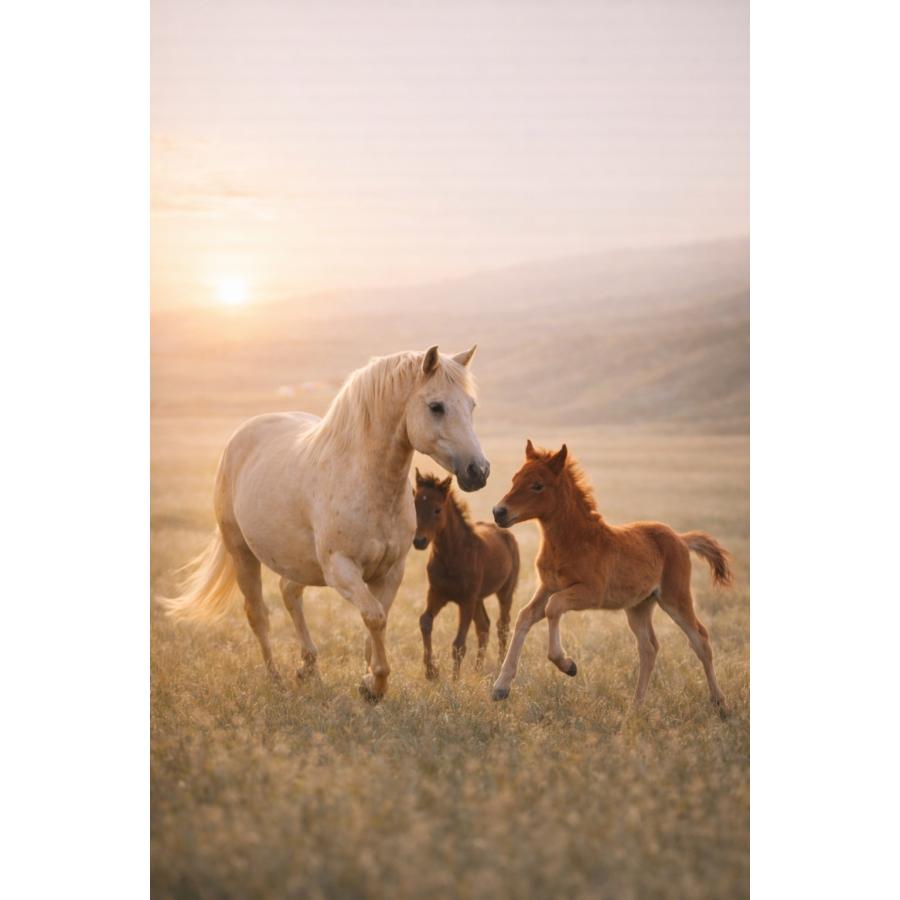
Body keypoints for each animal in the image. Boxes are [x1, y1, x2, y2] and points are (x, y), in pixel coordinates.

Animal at [160, 346, 490, 701]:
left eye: (471, 405)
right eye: (436, 406)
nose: (479, 471)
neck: (365, 480)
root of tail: (242, 435)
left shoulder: (391, 572)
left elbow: (377, 620)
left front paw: (366, 680)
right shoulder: (341, 570)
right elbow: (374, 617)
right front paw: (376, 684)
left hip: (297, 560)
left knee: (289, 593)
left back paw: (307, 667)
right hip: (241, 552)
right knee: (258, 613)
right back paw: (276, 679)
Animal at [412, 470, 520, 680]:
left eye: (437, 510)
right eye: (415, 506)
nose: (419, 541)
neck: (453, 555)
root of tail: (505, 533)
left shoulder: (466, 600)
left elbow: (459, 644)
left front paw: (454, 681)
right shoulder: (437, 594)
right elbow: (425, 622)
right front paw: (431, 671)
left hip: (505, 592)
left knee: (502, 626)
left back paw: (499, 667)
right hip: (478, 598)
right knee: (483, 627)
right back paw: (477, 671)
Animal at [490, 441, 732, 714]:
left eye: (538, 485)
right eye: (515, 479)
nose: (499, 512)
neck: (572, 541)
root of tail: (681, 538)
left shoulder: (590, 592)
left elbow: (554, 608)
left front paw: (567, 664)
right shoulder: (548, 587)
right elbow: (525, 616)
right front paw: (501, 687)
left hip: (675, 597)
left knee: (700, 639)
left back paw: (719, 703)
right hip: (639, 606)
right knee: (648, 648)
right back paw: (636, 707)